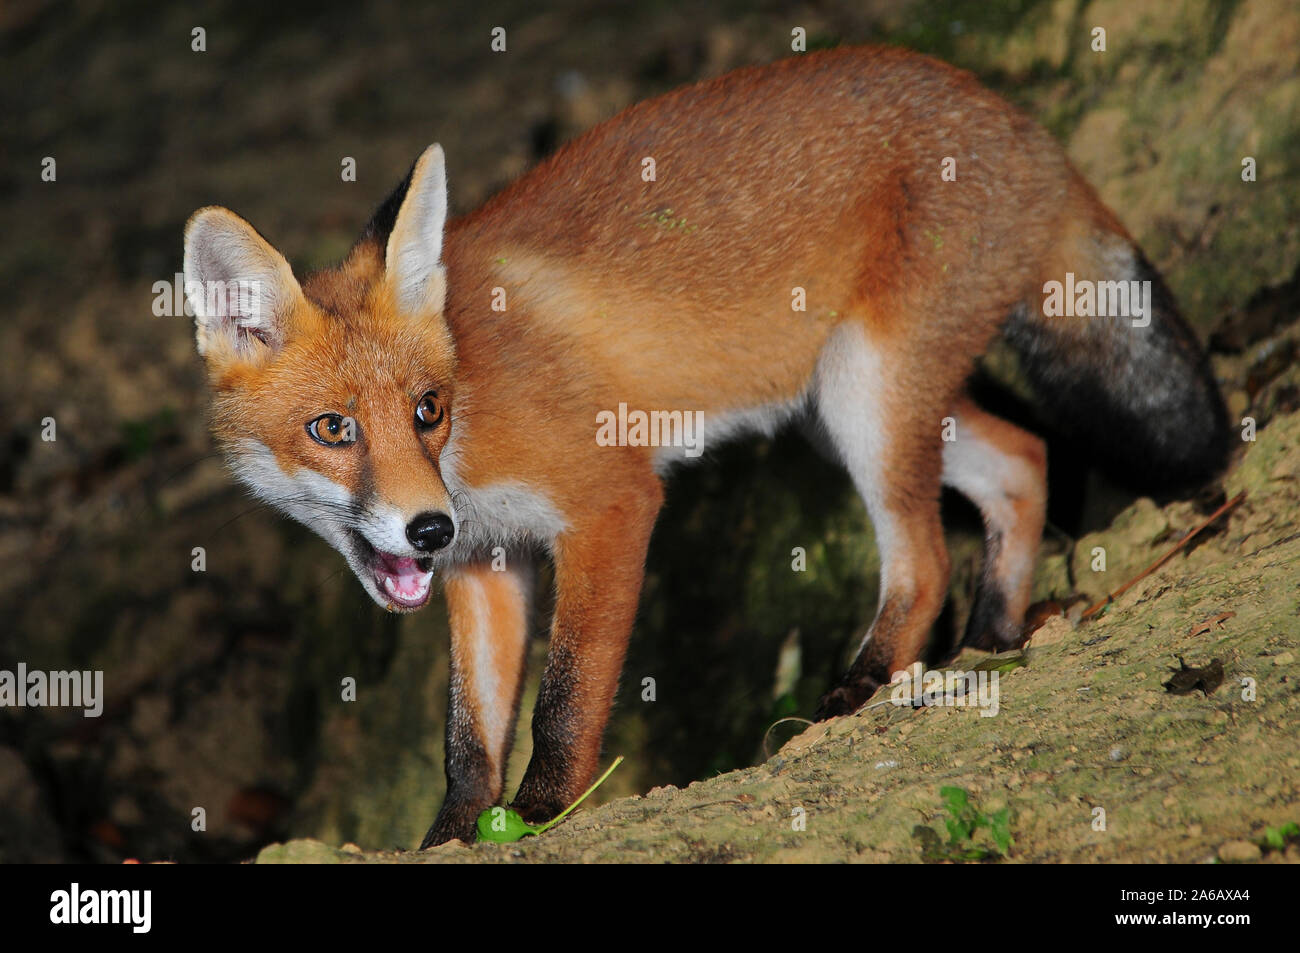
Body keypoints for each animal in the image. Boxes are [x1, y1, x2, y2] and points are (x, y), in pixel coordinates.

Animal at [183, 46, 1229, 847]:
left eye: (427, 410)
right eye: (335, 428)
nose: (427, 529)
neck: (475, 423)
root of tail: (1010, 113)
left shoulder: (611, 503)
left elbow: (565, 698)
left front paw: (545, 813)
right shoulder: (486, 564)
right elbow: (467, 738)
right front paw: (453, 835)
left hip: (866, 394)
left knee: (927, 557)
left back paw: (858, 690)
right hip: (844, 405)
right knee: (1022, 459)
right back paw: (994, 638)